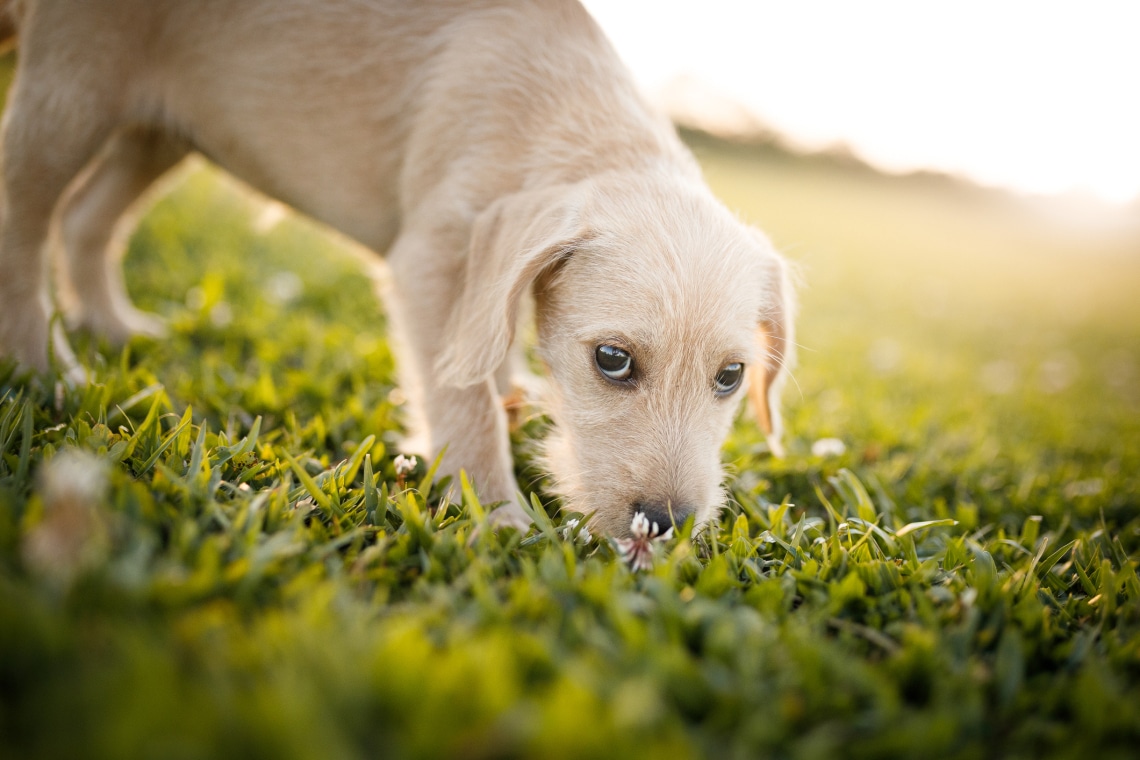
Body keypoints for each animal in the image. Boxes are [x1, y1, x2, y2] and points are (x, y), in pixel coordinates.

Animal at [0, 0, 793, 537]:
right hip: (74, 89)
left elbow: (490, 353)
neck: (580, 131)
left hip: (161, 130)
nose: (666, 525)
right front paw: (495, 513)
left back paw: (112, 325)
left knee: (87, 219)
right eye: (612, 360)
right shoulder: (434, 261)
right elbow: (463, 393)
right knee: (24, 222)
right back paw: (43, 367)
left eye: (731, 377)